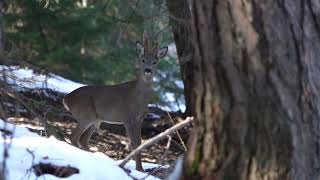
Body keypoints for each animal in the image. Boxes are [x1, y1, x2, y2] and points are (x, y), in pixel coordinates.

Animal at [62, 31, 168, 171]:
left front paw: (140, 168)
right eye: (143, 60)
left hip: (96, 119)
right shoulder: (127, 117)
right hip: (86, 114)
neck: (139, 98)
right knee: (73, 137)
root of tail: (66, 99)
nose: (148, 70)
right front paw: (138, 169)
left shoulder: (140, 119)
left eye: (155, 62)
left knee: (83, 140)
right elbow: (134, 143)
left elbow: (139, 143)